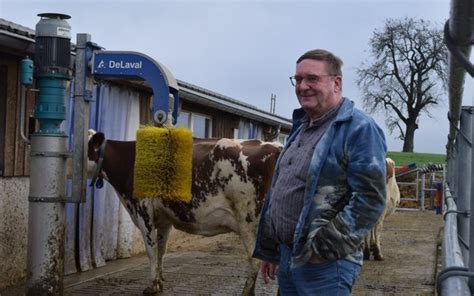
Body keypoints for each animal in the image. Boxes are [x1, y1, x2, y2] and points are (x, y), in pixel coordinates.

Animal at [87, 132, 282, 296]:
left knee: (254, 260)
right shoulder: (164, 218)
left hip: (248, 221)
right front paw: (159, 282)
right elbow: (161, 250)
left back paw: (246, 292)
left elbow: (151, 250)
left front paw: (152, 286)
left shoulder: (143, 211)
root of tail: (275, 147)